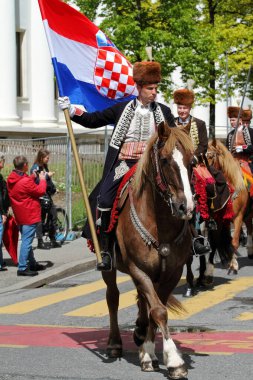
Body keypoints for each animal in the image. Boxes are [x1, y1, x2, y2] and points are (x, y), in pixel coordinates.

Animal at [101, 122, 194, 380]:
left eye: (192, 161)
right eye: (164, 160)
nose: (186, 207)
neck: (159, 221)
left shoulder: (171, 272)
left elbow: (156, 308)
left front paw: (149, 352)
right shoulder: (138, 269)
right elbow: (159, 311)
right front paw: (173, 360)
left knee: (142, 300)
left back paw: (141, 334)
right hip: (109, 269)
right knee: (113, 297)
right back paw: (114, 343)